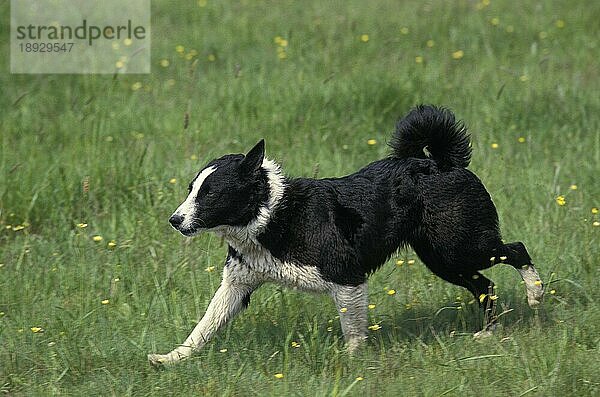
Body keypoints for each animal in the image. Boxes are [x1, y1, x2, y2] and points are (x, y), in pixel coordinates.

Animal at [149, 105, 544, 366]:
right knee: (485, 285)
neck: (271, 214)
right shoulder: (237, 285)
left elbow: (352, 331)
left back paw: (535, 294)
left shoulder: (348, 278)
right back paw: (488, 333)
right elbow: (203, 327)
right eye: (190, 189)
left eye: (210, 194)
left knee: (516, 250)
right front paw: (170, 359)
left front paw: (351, 363)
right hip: (442, 258)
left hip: (461, 246)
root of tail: (442, 161)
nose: (174, 220)